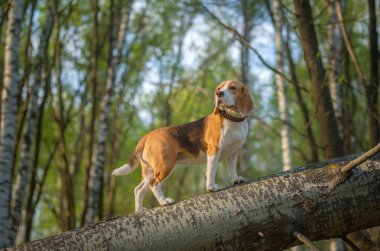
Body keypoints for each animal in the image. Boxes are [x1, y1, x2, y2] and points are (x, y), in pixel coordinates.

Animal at [113, 80, 255, 212]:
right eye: (219, 88)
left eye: (232, 88)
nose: (219, 94)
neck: (232, 119)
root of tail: (148, 135)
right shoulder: (213, 151)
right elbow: (211, 171)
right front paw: (211, 188)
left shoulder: (233, 152)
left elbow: (231, 169)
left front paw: (235, 179)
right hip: (165, 164)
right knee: (154, 184)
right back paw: (164, 201)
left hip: (150, 170)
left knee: (139, 189)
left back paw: (139, 210)